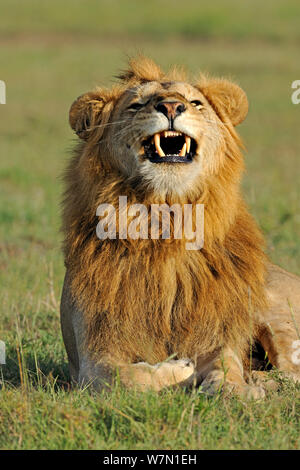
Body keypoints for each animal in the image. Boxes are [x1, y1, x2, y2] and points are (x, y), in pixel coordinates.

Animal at [60, 57, 300, 398]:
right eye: (136, 105)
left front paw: (235, 389)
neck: (167, 221)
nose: (172, 106)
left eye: (195, 103)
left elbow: (226, 365)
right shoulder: (91, 358)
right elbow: (124, 377)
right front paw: (181, 369)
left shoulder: (215, 335)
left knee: (290, 373)